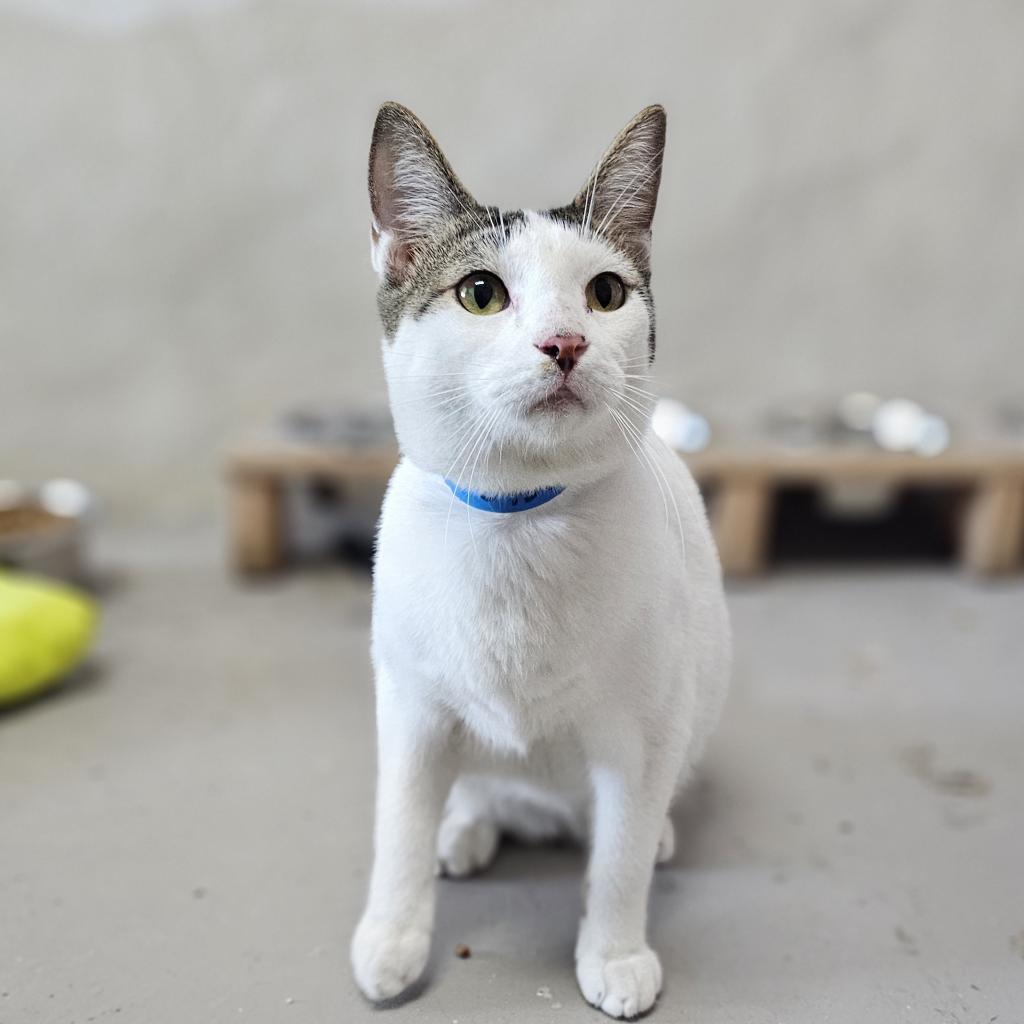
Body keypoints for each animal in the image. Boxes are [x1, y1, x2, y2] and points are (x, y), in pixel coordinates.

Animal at [350, 101, 729, 1015]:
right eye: (481, 293)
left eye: (606, 294)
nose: (564, 343)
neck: (517, 523)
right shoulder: (409, 707)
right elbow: (398, 825)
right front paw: (392, 935)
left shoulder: (644, 731)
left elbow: (619, 857)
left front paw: (614, 951)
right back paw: (465, 826)